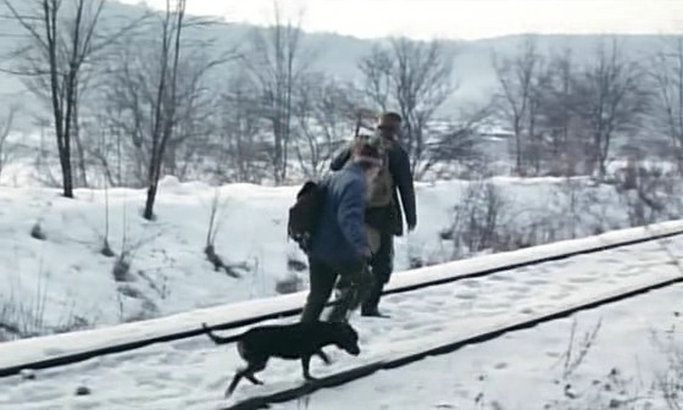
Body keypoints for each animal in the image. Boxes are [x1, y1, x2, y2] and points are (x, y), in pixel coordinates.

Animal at [202, 321, 360, 397]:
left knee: (245, 373)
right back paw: (229, 392)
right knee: (240, 373)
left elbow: (312, 364)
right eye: (352, 338)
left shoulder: (308, 353)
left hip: (258, 361)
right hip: (260, 361)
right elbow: (314, 363)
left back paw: (257, 383)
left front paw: (318, 371)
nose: (358, 352)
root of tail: (243, 335)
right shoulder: (308, 352)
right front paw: (319, 372)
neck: (323, 330)